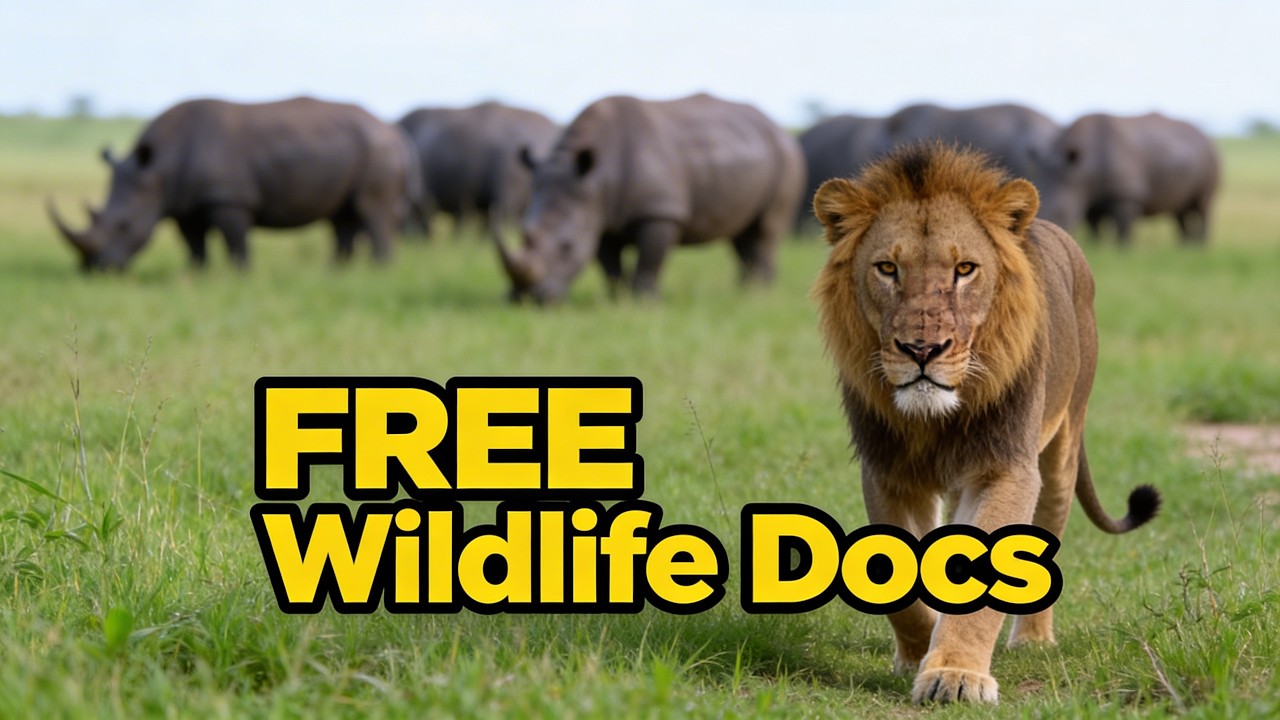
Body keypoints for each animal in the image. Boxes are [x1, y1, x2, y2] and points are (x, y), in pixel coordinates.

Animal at [811, 143, 1160, 704]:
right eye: (887, 268)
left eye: (965, 269)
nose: (922, 350)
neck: (936, 419)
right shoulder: (888, 472)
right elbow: (904, 590)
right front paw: (916, 654)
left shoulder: (1006, 468)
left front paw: (955, 674)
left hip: (1060, 451)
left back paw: (1034, 639)